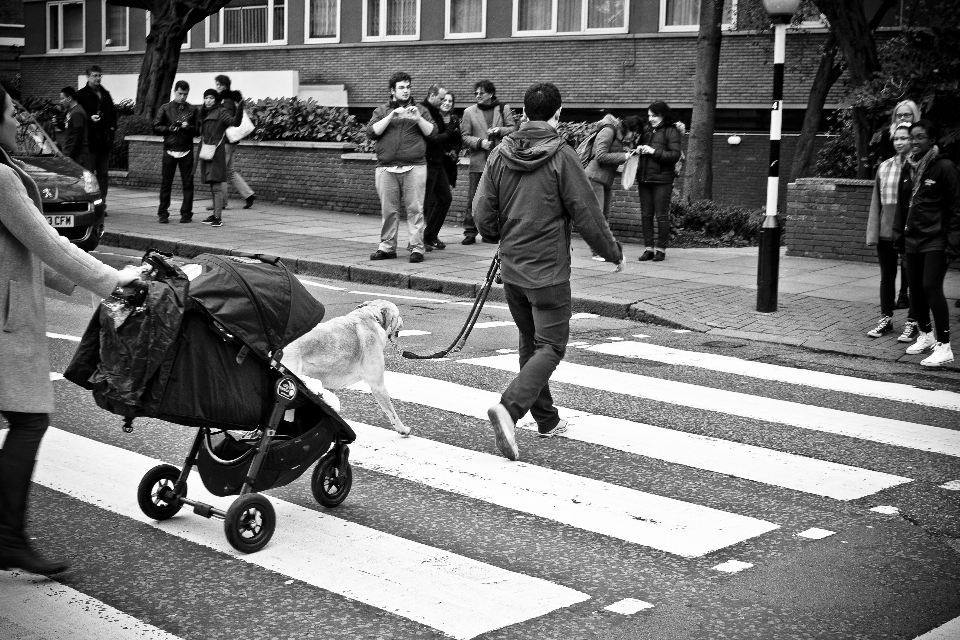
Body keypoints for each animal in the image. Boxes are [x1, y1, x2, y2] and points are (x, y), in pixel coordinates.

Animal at [282, 300, 408, 436]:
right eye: (398, 315)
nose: (402, 321)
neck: (373, 317)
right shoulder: (378, 386)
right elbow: (392, 412)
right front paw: (402, 429)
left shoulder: (330, 389)